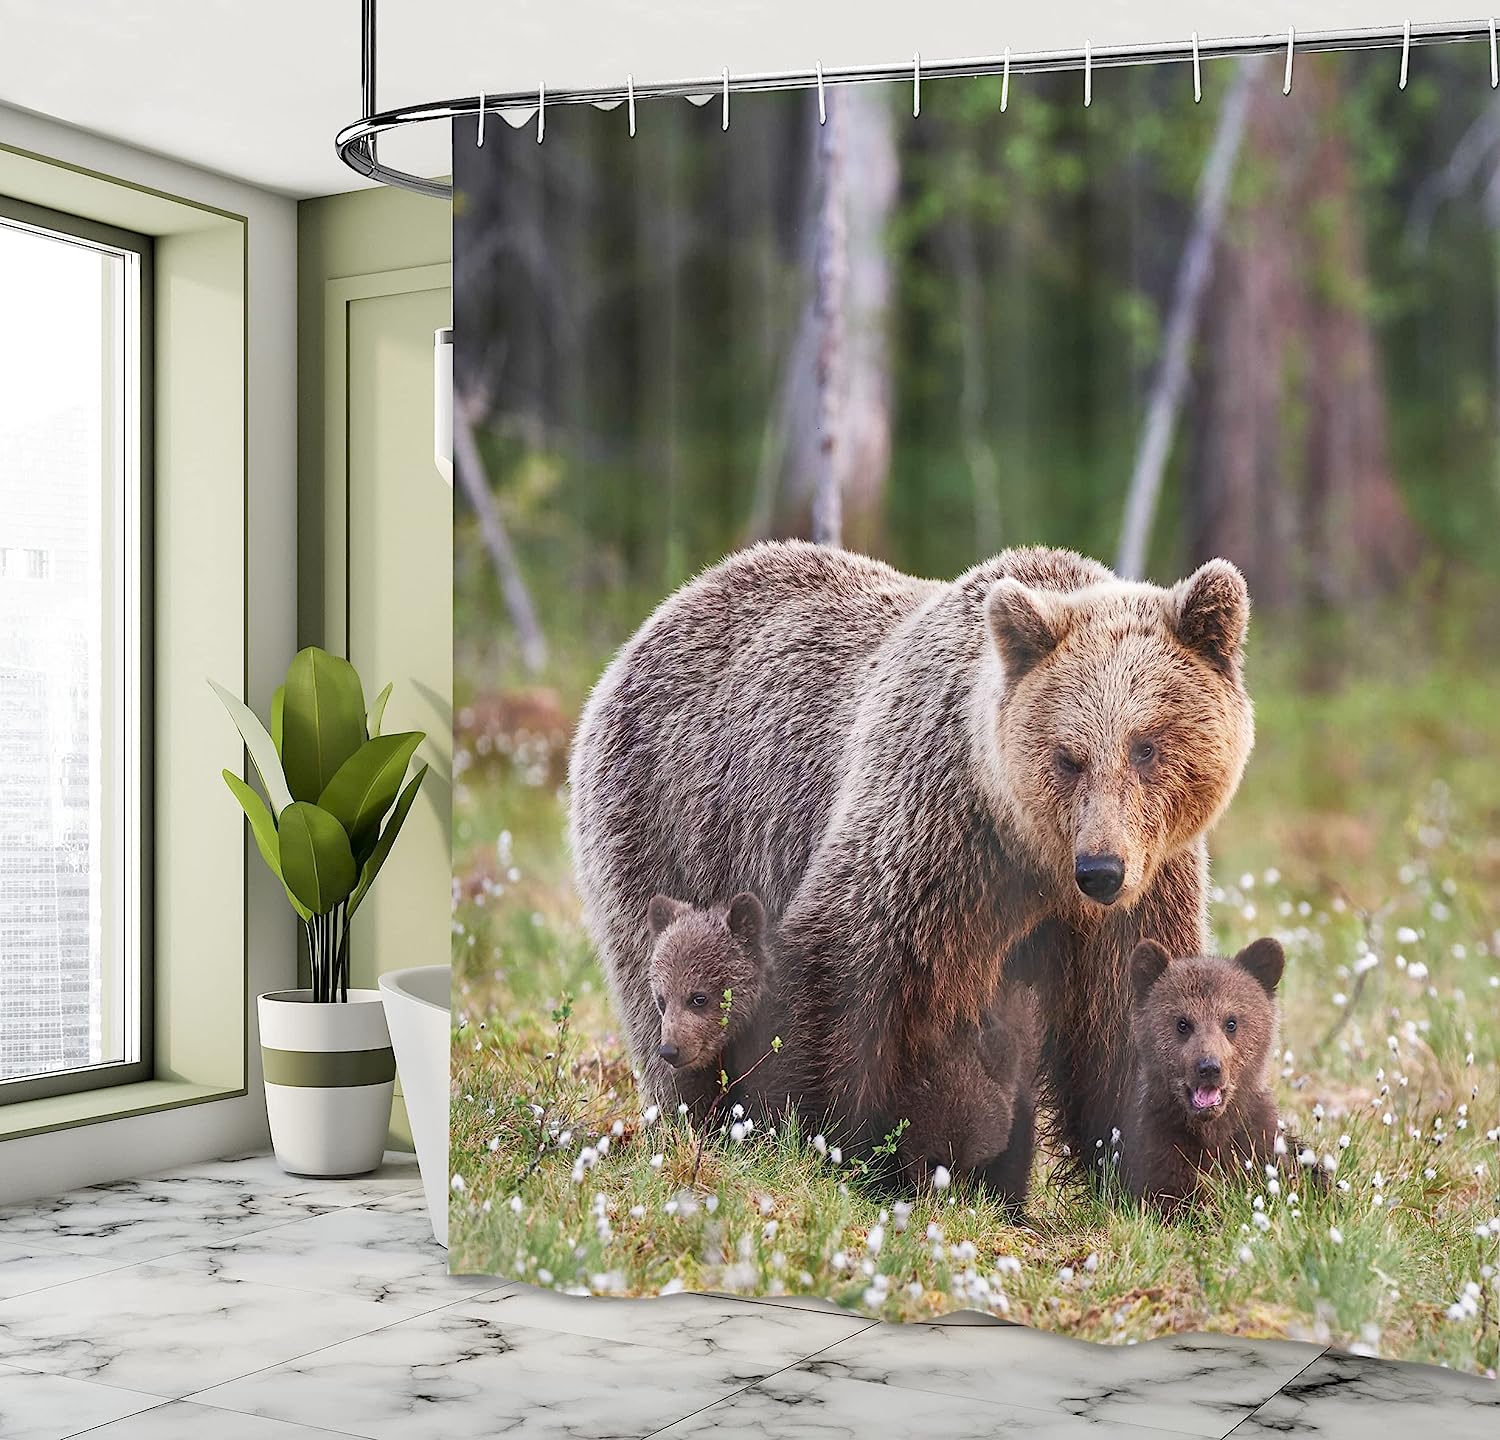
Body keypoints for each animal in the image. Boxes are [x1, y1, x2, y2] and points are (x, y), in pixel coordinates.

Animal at [1119, 937, 1284, 1212]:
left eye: (1231, 1022)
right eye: (1182, 1023)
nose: (1209, 1067)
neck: (1211, 1132)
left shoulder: (1259, 1140)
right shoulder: (1162, 1148)